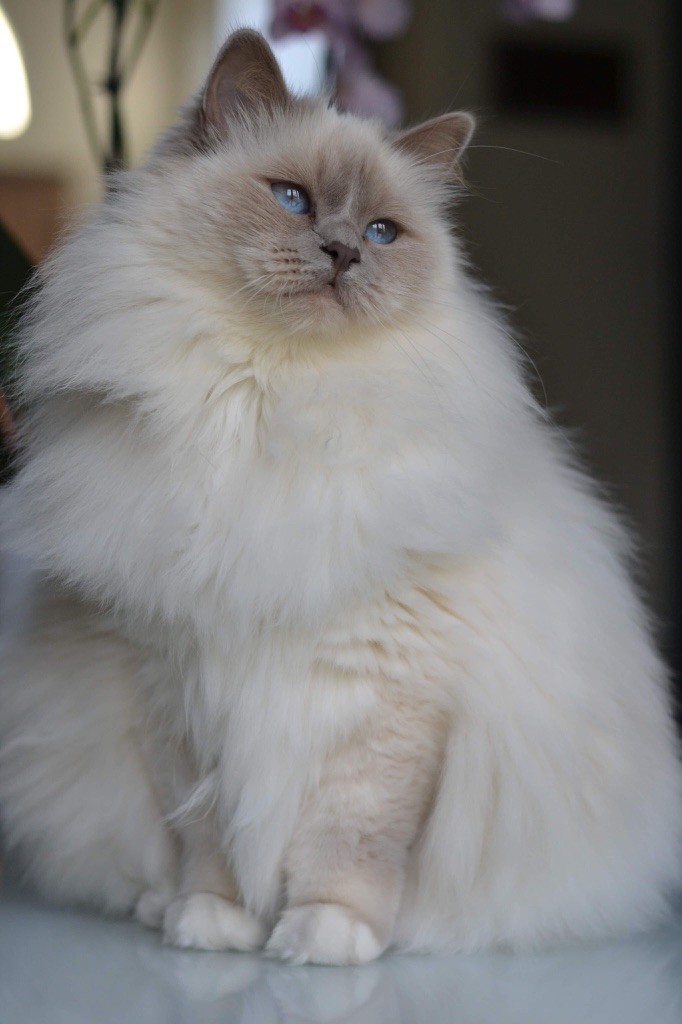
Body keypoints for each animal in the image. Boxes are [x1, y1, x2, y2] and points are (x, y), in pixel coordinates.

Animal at [1, 32, 679, 958]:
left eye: (384, 232)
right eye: (292, 199)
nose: (344, 252)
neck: (272, 398)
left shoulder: (390, 699)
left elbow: (349, 838)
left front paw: (326, 935)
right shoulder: (175, 683)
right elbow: (208, 837)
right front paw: (213, 923)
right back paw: (157, 906)